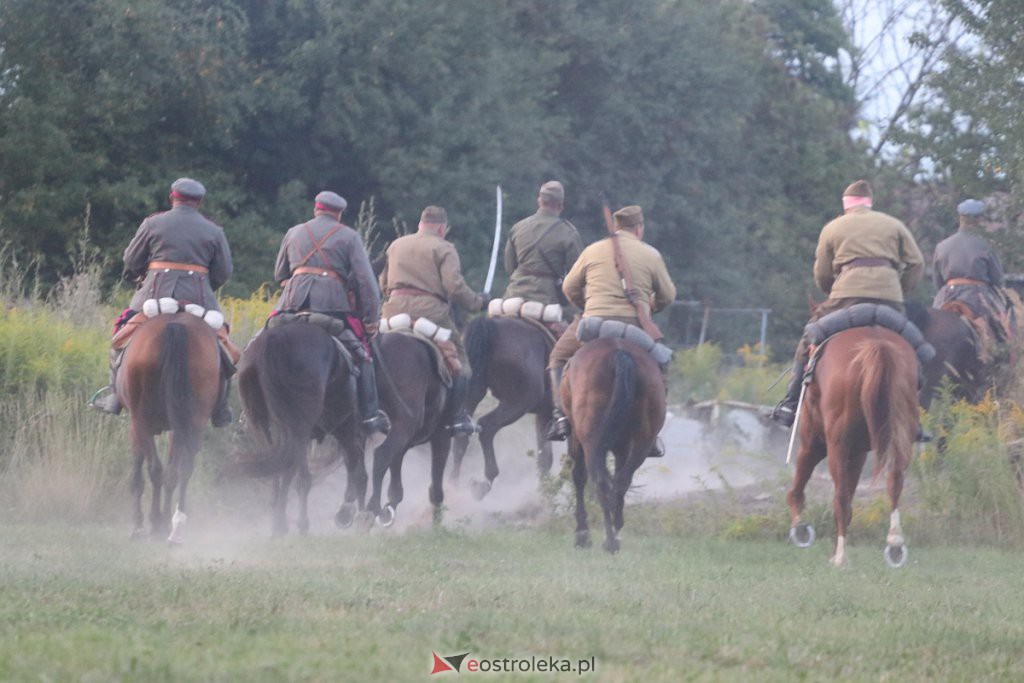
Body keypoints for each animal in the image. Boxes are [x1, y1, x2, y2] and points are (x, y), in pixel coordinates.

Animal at [120, 313, 223, 544]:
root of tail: (174, 325)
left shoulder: (135, 427)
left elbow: (138, 475)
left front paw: (140, 524)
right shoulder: (174, 430)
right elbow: (171, 472)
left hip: (142, 421)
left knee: (156, 469)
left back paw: (158, 524)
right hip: (194, 422)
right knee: (181, 471)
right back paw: (174, 527)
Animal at [452, 317, 557, 499]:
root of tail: (490, 325)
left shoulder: (544, 415)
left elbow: (544, 459)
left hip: (473, 393)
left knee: (461, 435)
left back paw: (451, 488)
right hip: (517, 403)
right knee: (486, 427)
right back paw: (483, 484)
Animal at [561, 337, 663, 557]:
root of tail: (619, 353)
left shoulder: (576, 439)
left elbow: (579, 477)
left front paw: (582, 534)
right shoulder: (622, 447)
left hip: (589, 440)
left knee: (598, 480)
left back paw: (609, 541)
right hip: (642, 442)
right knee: (621, 481)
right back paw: (616, 531)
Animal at [782, 325, 921, 565]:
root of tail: (878, 346)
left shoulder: (814, 444)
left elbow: (799, 488)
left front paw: (800, 528)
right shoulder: (858, 454)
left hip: (837, 446)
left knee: (841, 499)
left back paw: (840, 556)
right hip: (898, 437)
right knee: (894, 481)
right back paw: (894, 544)